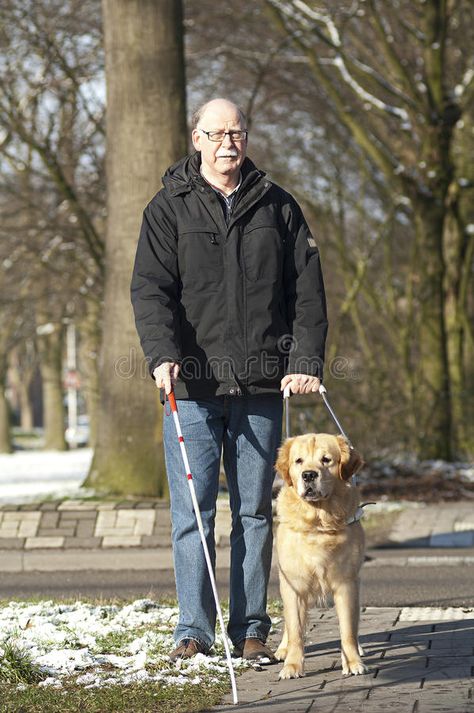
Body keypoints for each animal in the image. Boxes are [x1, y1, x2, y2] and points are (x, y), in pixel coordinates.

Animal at [276, 432, 368, 680]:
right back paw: (282, 650)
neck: (317, 521)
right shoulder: (294, 585)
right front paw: (292, 665)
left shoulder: (346, 583)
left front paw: (352, 662)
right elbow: (295, 630)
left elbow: (347, 629)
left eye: (326, 460)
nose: (309, 475)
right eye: (298, 461)